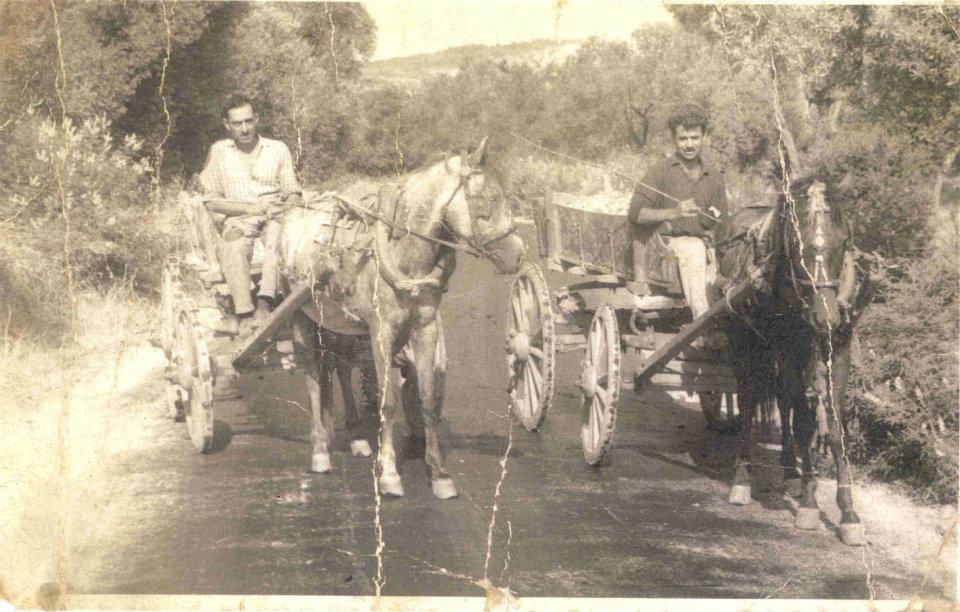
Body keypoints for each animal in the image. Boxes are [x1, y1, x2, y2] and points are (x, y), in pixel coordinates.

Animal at [274, 137, 524, 498]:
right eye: (486, 200)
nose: (519, 254)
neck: (402, 255)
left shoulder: (425, 327)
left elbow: (428, 397)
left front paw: (439, 474)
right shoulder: (382, 332)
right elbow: (388, 401)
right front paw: (389, 473)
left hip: (340, 322)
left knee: (340, 366)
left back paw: (355, 437)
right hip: (301, 317)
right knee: (311, 376)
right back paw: (320, 450)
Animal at [712, 176, 876, 544]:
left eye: (844, 242)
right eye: (797, 246)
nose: (825, 317)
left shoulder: (838, 351)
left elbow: (835, 428)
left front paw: (848, 513)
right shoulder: (788, 349)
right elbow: (803, 421)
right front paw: (811, 504)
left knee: (783, 400)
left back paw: (790, 473)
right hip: (746, 345)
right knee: (749, 401)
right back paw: (742, 479)